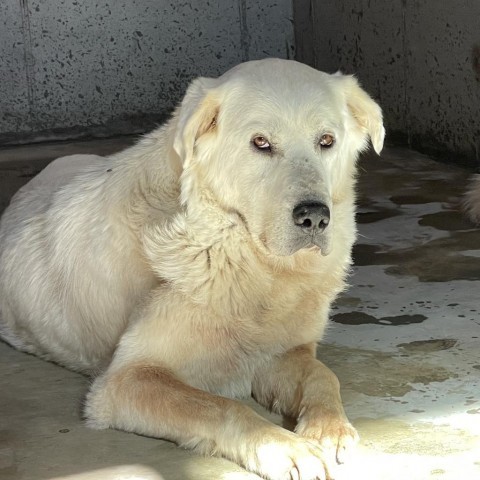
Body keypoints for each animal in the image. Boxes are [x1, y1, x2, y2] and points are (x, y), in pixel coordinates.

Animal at [0, 60, 382, 480]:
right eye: (261, 143)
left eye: (326, 141)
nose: (314, 216)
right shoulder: (124, 381)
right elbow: (222, 407)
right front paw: (286, 448)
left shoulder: (282, 353)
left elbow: (321, 375)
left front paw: (329, 428)